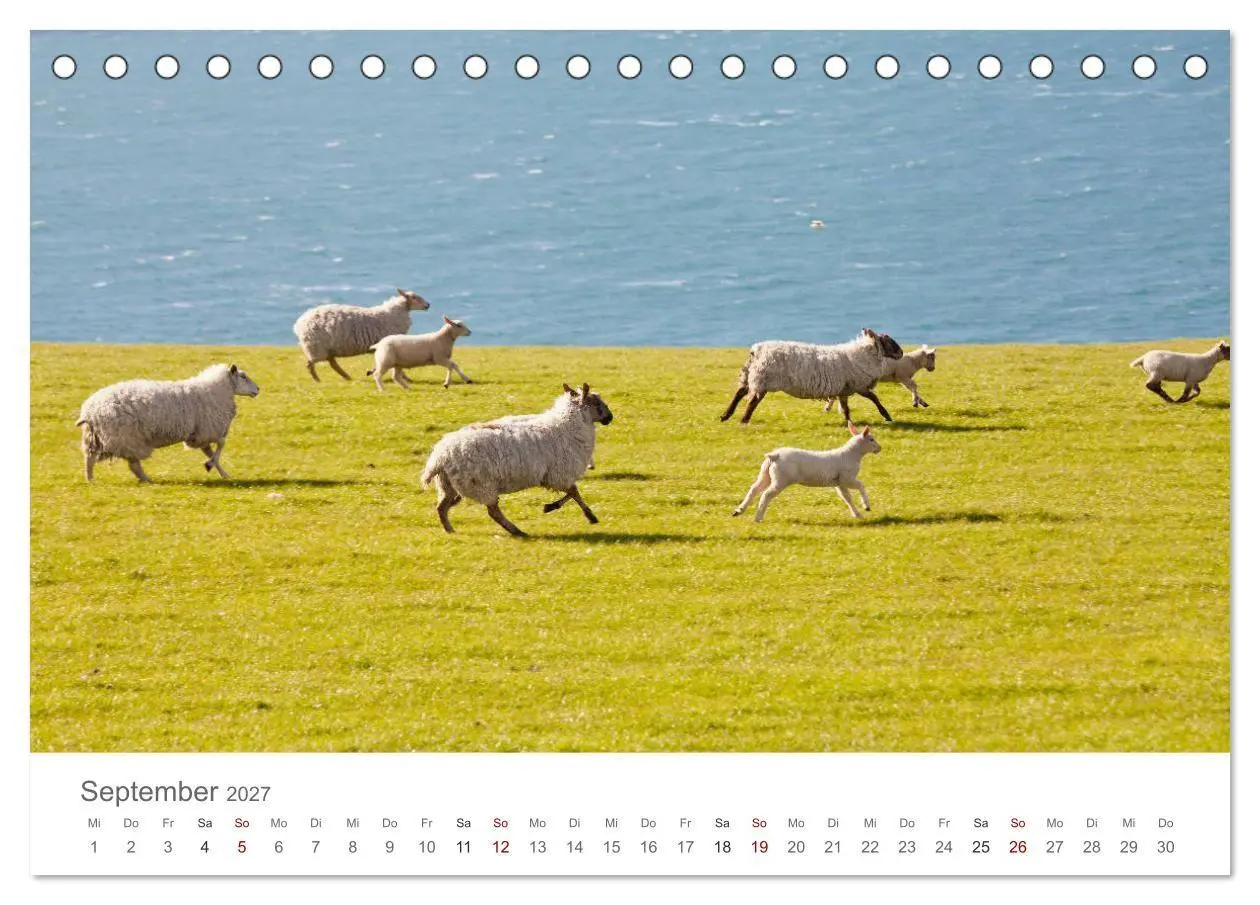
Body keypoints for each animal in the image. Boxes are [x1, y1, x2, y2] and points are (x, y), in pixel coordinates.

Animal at [76, 364, 260, 483]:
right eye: (243, 376)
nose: (258, 389)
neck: (214, 391)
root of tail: (89, 411)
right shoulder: (207, 431)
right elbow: (221, 444)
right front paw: (210, 465)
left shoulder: (198, 435)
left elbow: (210, 451)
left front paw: (223, 472)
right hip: (127, 438)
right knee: (133, 464)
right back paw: (147, 480)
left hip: (97, 439)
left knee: (89, 459)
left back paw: (90, 480)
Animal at [293, 288, 430, 381]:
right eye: (414, 298)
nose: (428, 305)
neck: (393, 313)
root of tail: (299, 323)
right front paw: (405, 377)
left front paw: (371, 371)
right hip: (316, 347)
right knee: (310, 364)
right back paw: (317, 380)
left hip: (326, 348)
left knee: (332, 364)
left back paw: (347, 377)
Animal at [421, 383, 613, 537]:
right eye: (596, 403)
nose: (610, 418)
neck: (567, 424)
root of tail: (440, 456)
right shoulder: (558, 474)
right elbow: (574, 492)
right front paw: (588, 516)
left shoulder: (552, 476)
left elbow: (572, 493)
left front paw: (555, 507)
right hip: (481, 484)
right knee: (493, 512)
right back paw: (517, 531)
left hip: (449, 485)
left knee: (442, 507)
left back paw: (450, 530)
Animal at [720, 328, 904, 425]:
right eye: (889, 342)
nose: (901, 353)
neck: (863, 354)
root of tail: (756, 350)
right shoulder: (859, 385)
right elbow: (875, 399)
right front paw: (887, 416)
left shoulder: (844, 389)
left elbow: (846, 408)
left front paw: (848, 422)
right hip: (762, 379)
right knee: (752, 401)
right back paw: (744, 420)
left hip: (752, 375)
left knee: (740, 392)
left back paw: (726, 416)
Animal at [732, 422, 882, 523]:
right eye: (871, 439)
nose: (880, 448)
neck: (851, 454)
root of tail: (774, 455)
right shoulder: (847, 478)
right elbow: (861, 486)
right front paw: (866, 506)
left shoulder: (839, 482)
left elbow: (847, 498)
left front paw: (857, 515)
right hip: (781, 479)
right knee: (766, 495)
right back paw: (758, 517)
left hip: (766, 474)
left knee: (754, 489)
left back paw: (739, 510)